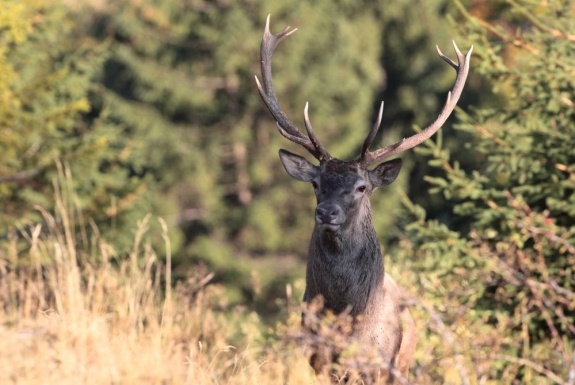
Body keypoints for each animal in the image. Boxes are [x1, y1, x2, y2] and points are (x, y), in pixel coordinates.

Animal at [256, 15, 472, 384]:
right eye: (316, 183)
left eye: (361, 187)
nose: (326, 212)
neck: (349, 320)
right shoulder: (319, 361)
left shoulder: (379, 364)